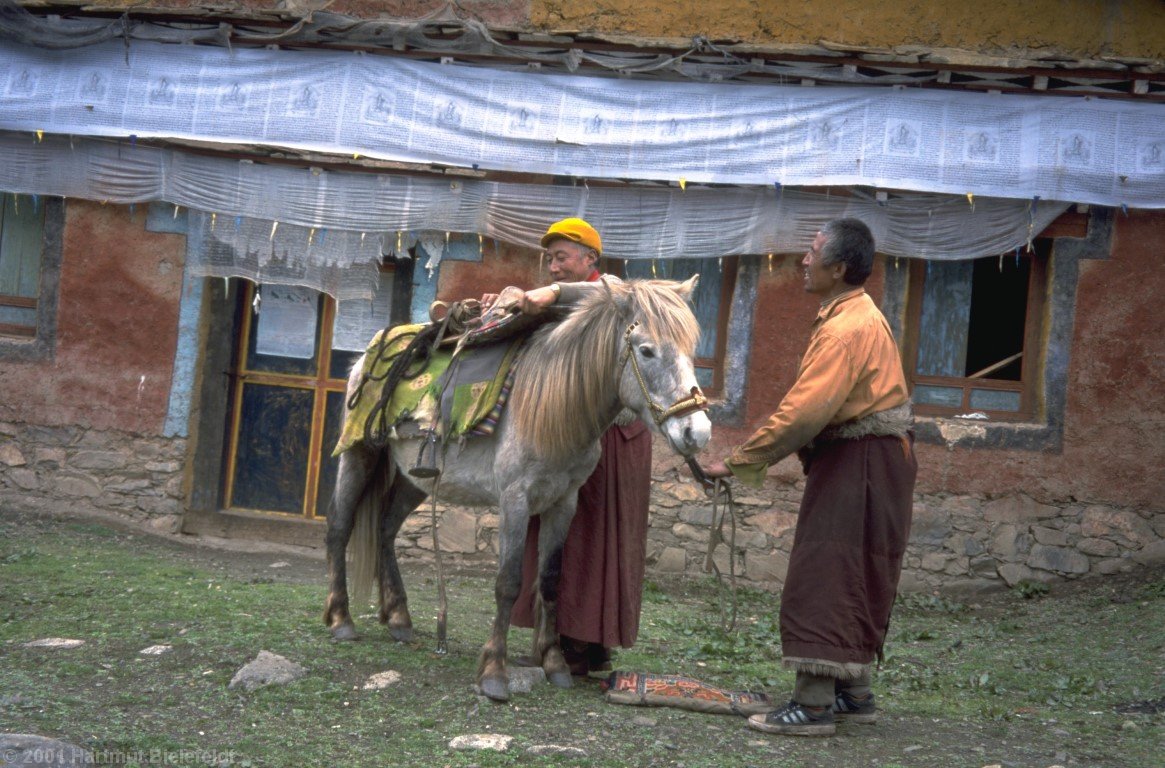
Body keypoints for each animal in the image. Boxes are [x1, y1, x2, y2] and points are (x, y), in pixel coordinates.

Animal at [323, 276, 712, 703]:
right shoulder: (515, 500)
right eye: (646, 350)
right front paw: (494, 672)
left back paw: (398, 618)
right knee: (339, 526)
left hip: (417, 478)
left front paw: (555, 663)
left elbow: (551, 581)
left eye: (691, 351)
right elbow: (509, 583)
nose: (697, 432)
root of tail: (367, 355)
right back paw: (341, 619)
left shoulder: (563, 503)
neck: (553, 406)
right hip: (359, 454)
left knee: (386, 528)